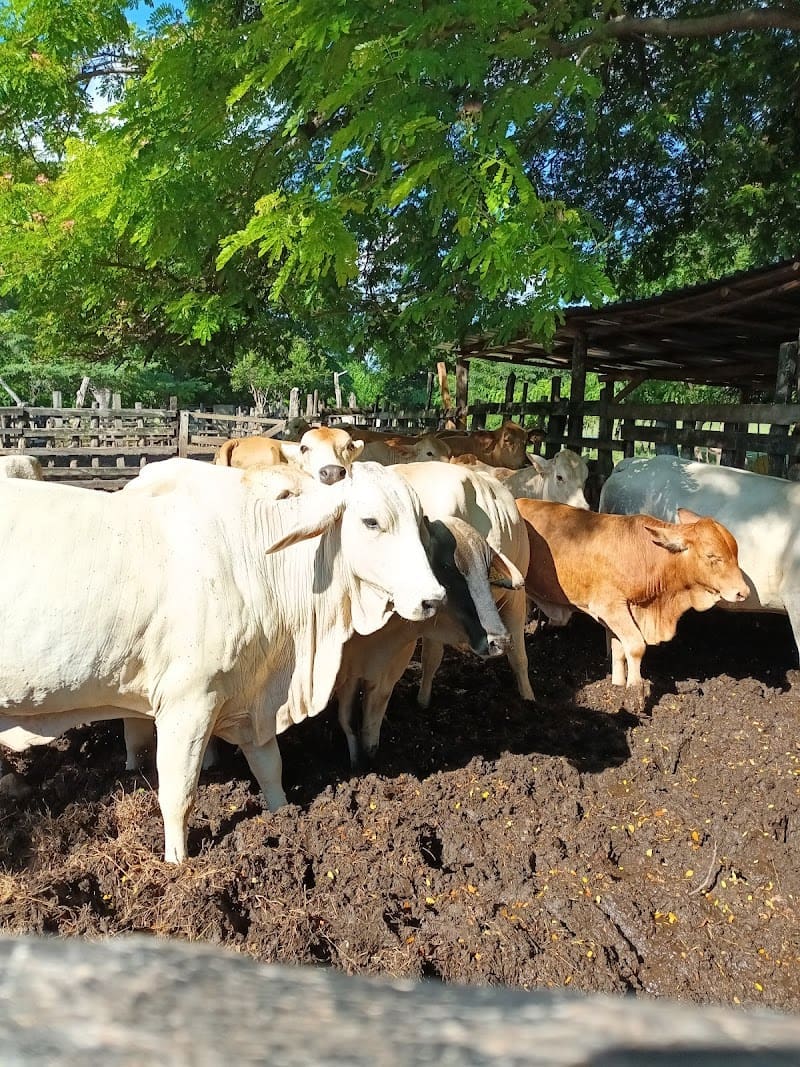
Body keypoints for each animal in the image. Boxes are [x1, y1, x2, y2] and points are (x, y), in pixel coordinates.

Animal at [0, 460, 445, 862]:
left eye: (419, 521)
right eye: (371, 522)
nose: (433, 598)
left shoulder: (252, 699)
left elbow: (270, 769)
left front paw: (284, 818)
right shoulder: (187, 704)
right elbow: (178, 795)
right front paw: (177, 862)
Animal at [336, 515, 524, 769]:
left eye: (486, 572)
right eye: (447, 567)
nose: (501, 641)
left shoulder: (388, 667)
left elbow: (372, 717)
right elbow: (347, 720)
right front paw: (357, 765)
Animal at [516, 497, 749, 708]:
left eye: (736, 552)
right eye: (712, 556)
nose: (743, 592)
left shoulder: (622, 611)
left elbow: (619, 649)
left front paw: (618, 685)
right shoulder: (610, 607)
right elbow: (636, 646)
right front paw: (635, 690)